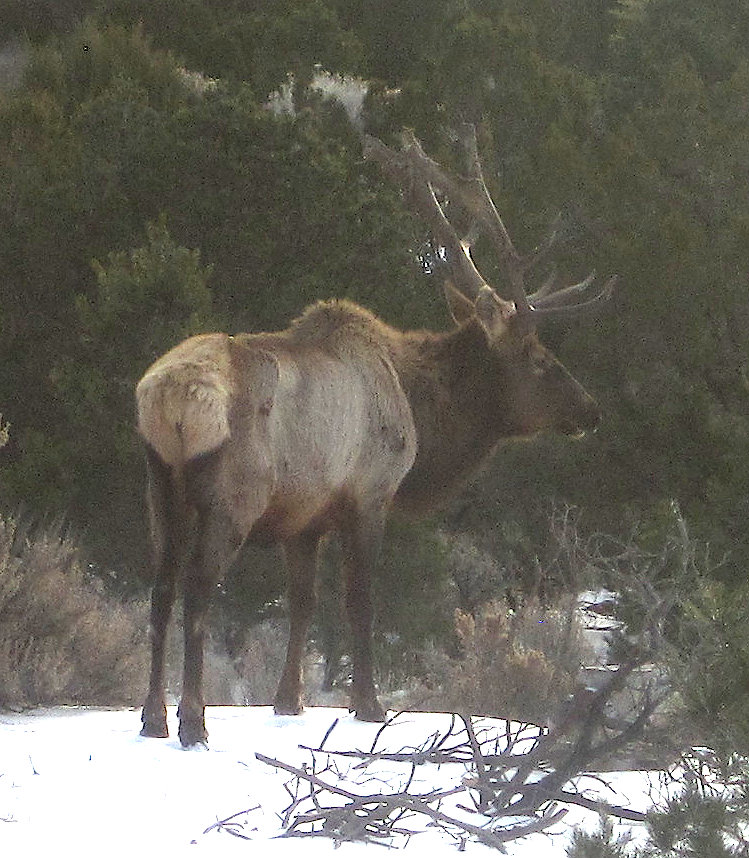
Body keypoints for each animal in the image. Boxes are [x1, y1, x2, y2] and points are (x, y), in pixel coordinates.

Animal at [136, 125, 612, 744]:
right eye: (539, 359)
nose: (590, 410)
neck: (419, 409)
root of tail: (168, 399)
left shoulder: (303, 518)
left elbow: (304, 602)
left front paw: (288, 701)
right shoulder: (370, 491)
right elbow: (359, 600)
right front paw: (369, 703)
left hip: (159, 487)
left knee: (160, 587)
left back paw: (152, 716)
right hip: (233, 495)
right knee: (198, 590)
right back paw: (192, 720)